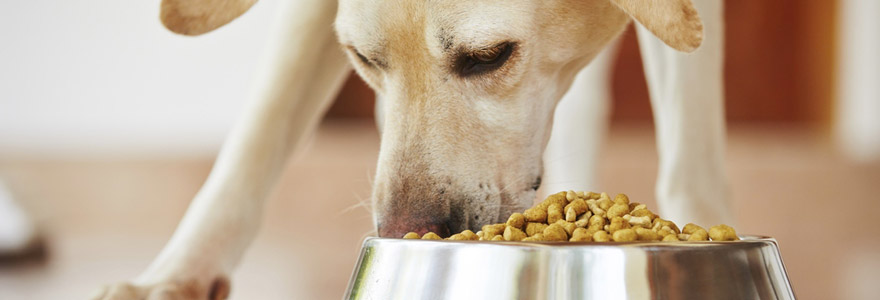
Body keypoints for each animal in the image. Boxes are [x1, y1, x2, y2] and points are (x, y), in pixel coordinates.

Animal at [93, 0, 732, 298]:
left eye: (489, 56)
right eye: (362, 58)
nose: (403, 233)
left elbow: (692, 151)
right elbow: (262, 127)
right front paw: (176, 276)